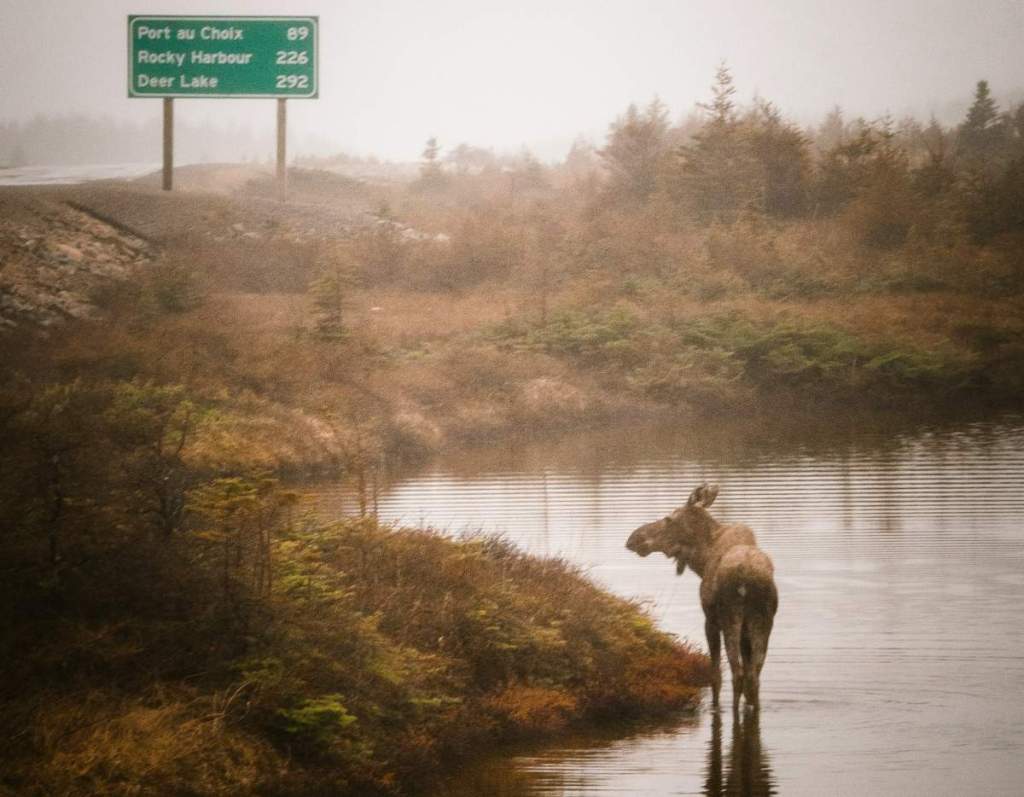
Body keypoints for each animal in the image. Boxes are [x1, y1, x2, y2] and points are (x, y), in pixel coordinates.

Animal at [625, 483, 778, 712]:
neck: (702, 560)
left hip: (730, 618)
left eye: (669, 519)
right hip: (763, 621)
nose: (633, 539)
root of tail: (748, 579)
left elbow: (715, 674)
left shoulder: (710, 620)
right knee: (753, 676)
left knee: (737, 674)